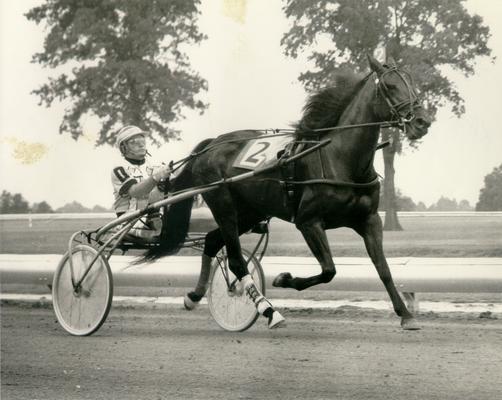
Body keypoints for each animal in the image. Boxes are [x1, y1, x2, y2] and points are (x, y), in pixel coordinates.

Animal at [142, 55, 432, 332]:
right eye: (389, 86)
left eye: (412, 82)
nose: (422, 122)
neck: (339, 158)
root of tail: (212, 144)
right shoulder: (308, 221)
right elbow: (329, 270)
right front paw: (284, 278)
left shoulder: (369, 220)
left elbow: (384, 269)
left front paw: (406, 315)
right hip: (224, 205)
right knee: (236, 261)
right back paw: (268, 310)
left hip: (249, 212)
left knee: (213, 241)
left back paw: (194, 296)